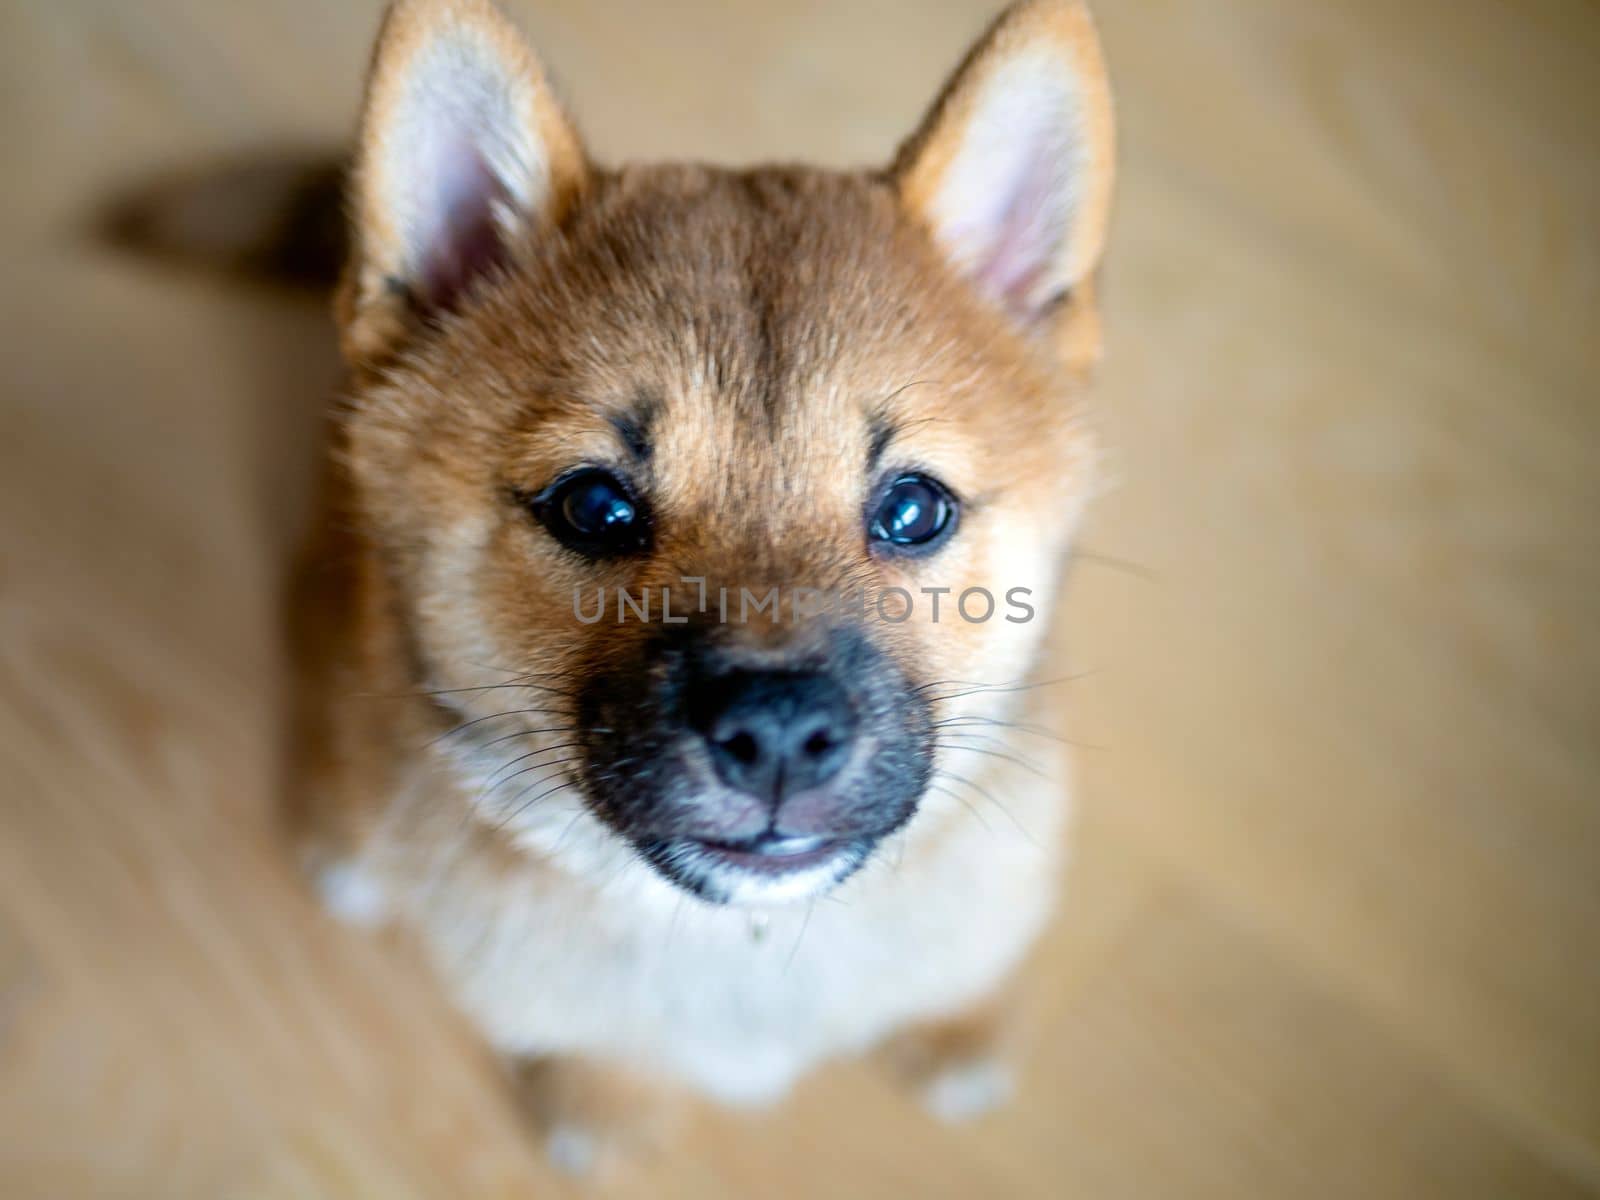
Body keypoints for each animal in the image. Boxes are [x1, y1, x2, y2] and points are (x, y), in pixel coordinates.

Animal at [291, 0, 1113, 1177]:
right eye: (594, 506)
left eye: (914, 510)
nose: (776, 736)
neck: (749, 947)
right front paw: (603, 1101)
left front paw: (959, 1026)